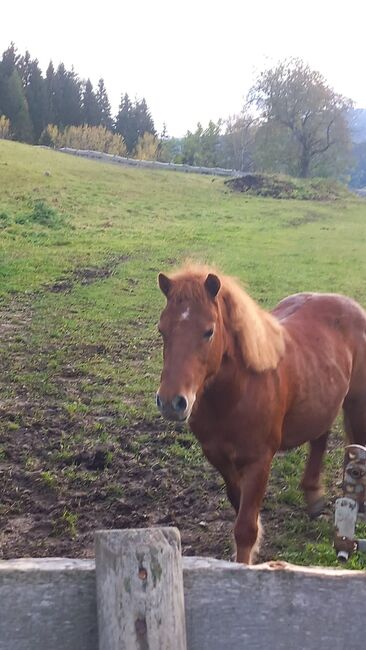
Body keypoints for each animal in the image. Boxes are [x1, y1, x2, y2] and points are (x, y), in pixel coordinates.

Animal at [156, 264, 366, 560]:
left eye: (208, 332)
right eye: (162, 330)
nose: (171, 402)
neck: (236, 395)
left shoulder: (259, 461)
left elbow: (245, 528)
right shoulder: (217, 456)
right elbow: (238, 503)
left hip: (357, 403)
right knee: (320, 437)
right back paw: (313, 494)